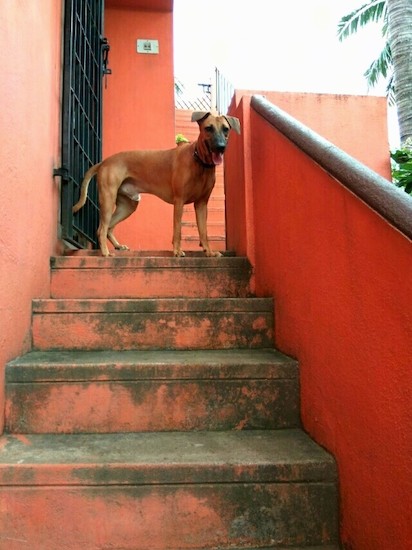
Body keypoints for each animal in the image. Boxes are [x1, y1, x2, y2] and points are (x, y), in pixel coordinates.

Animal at [72, 113, 240, 258]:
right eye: (208, 128)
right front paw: (177, 251)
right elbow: (177, 229)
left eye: (226, 129)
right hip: (108, 198)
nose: (220, 146)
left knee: (109, 227)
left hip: (128, 206)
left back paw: (118, 246)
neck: (200, 163)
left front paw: (209, 252)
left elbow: (204, 232)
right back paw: (106, 253)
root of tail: (104, 162)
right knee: (101, 228)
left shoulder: (201, 204)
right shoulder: (179, 201)